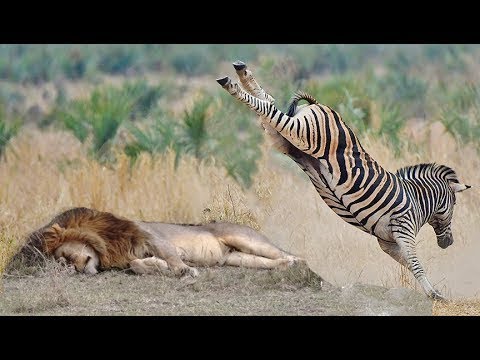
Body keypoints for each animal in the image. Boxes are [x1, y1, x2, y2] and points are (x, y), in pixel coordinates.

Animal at [12, 205, 304, 278]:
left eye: (65, 258)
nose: (77, 268)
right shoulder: (129, 257)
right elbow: (137, 264)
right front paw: (157, 266)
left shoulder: (151, 235)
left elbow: (171, 255)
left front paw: (185, 270)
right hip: (238, 257)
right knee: (270, 262)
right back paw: (286, 267)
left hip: (243, 237)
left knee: (284, 252)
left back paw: (298, 261)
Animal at [216, 61, 470, 300]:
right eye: (455, 204)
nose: (449, 243)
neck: (419, 200)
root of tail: (318, 104)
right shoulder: (403, 229)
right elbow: (416, 264)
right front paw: (435, 295)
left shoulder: (388, 242)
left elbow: (409, 264)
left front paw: (432, 290)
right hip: (303, 133)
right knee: (270, 109)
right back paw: (231, 83)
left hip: (283, 139)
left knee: (268, 103)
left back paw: (241, 73)